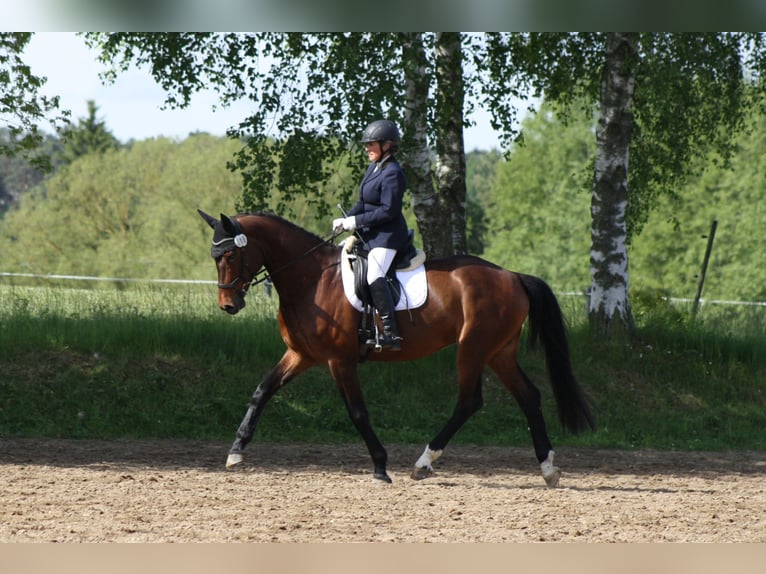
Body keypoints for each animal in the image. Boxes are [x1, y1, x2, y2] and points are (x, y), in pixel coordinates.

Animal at [197, 209, 595, 487]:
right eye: (215, 257)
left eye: (230, 257)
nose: (228, 305)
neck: (311, 279)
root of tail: (513, 276)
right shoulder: (301, 355)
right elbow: (262, 391)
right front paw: (236, 452)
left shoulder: (339, 360)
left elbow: (358, 413)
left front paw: (380, 465)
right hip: (499, 351)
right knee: (528, 396)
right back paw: (548, 469)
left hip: (473, 348)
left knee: (469, 401)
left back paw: (423, 463)